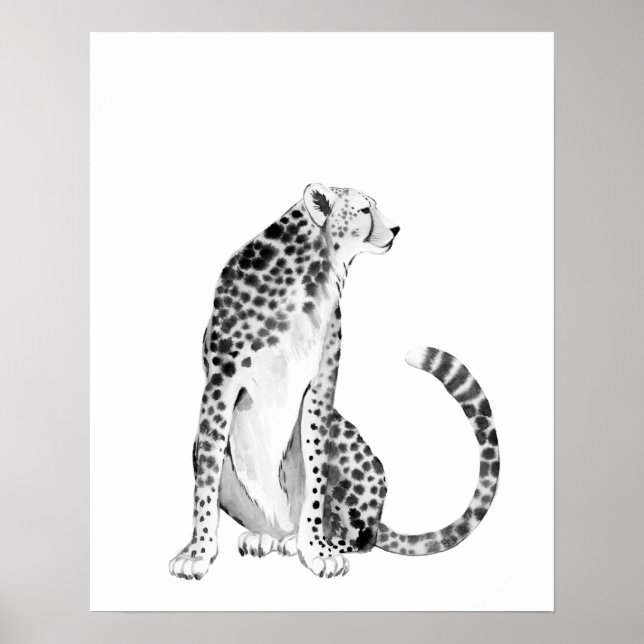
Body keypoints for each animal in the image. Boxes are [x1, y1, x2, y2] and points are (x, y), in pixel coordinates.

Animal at [168, 183, 500, 579]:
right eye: (364, 210)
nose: (396, 228)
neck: (312, 271)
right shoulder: (220, 384)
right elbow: (206, 476)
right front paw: (198, 552)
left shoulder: (321, 386)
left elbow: (315, 474)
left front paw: (316, 550)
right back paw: (265, 537)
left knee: (363, 538)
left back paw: (304, 541)